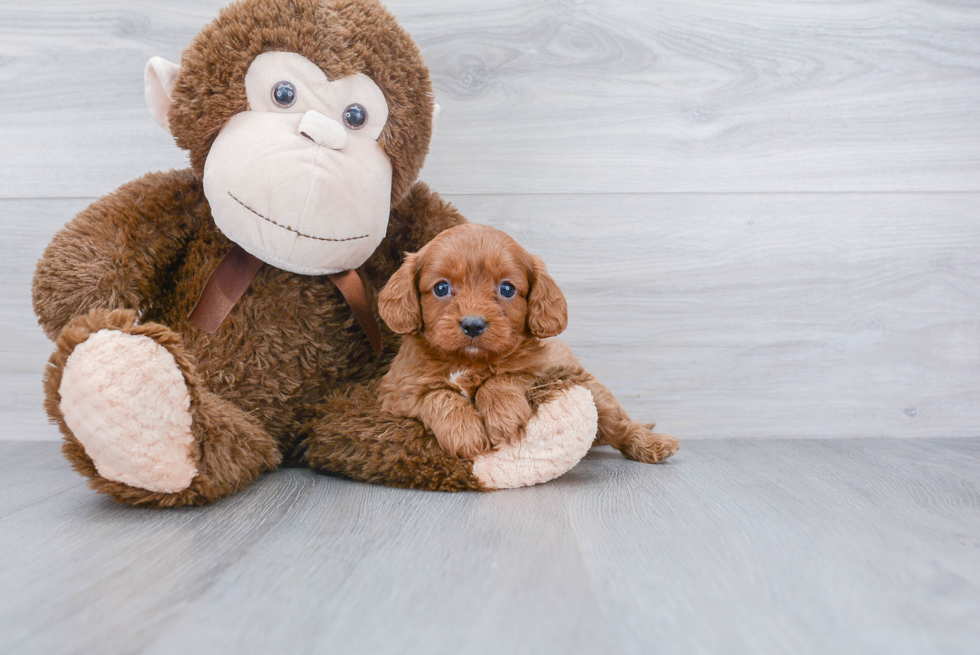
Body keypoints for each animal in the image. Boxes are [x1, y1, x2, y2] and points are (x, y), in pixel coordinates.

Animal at [378, 223, 680, 464]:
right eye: (441, 288)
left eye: (507, 288)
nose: (473, 324)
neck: (469, 361)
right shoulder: (397, 394)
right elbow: (438, 394)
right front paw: (463, 432)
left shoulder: (545, 373)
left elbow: (505, 377)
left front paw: (503, 413)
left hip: (593, 390)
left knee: (621, 425)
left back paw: (652, 444)